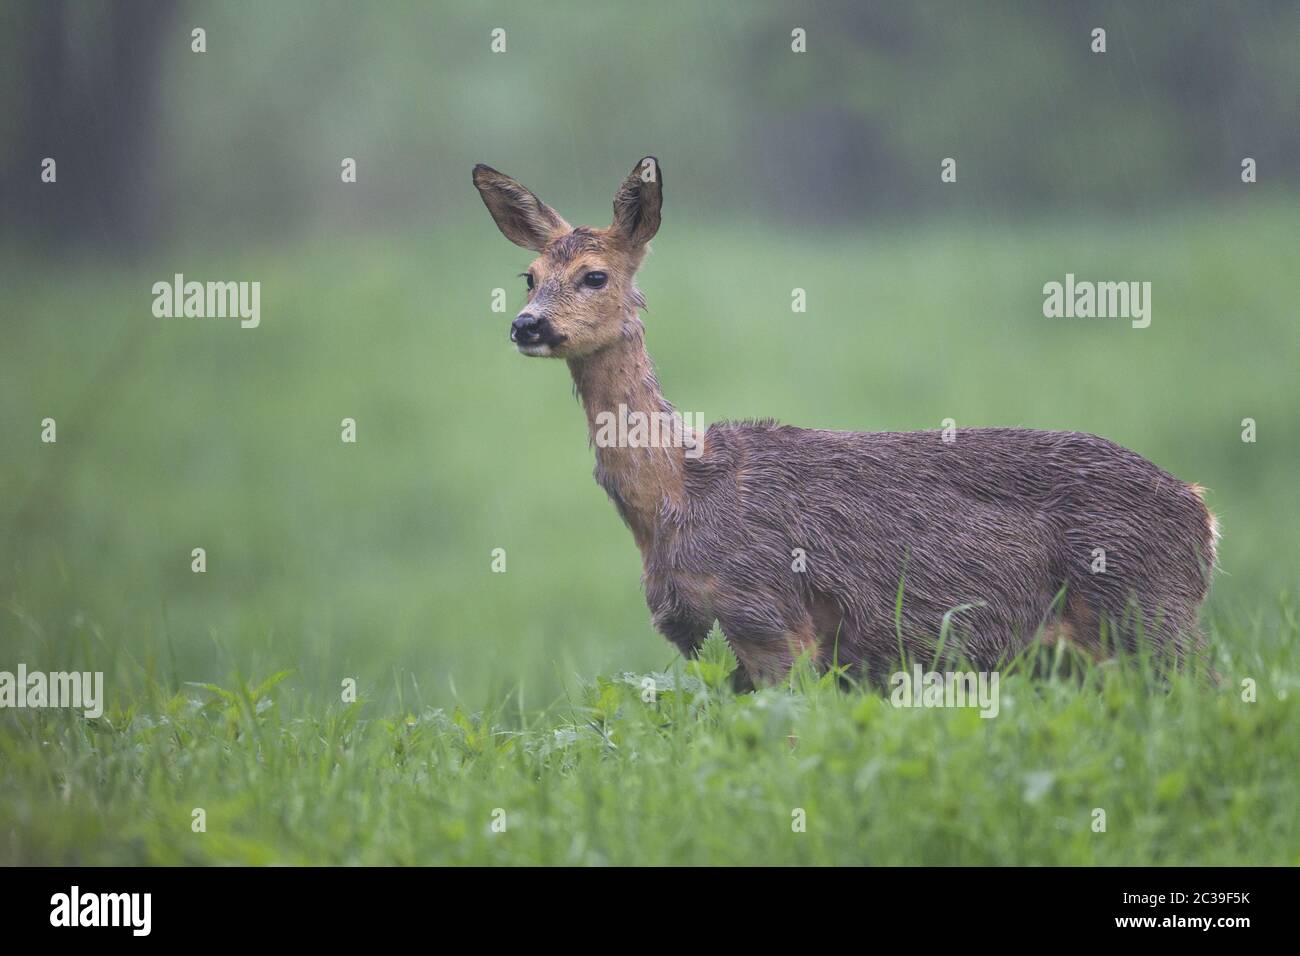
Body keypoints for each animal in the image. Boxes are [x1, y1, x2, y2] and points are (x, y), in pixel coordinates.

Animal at [473, 156, 1218, 689]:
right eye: (528, 275)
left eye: (595, 276)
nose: (526, 325)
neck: (678, 492)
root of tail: (1202, 513)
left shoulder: (769, 614)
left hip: (1146, 610)